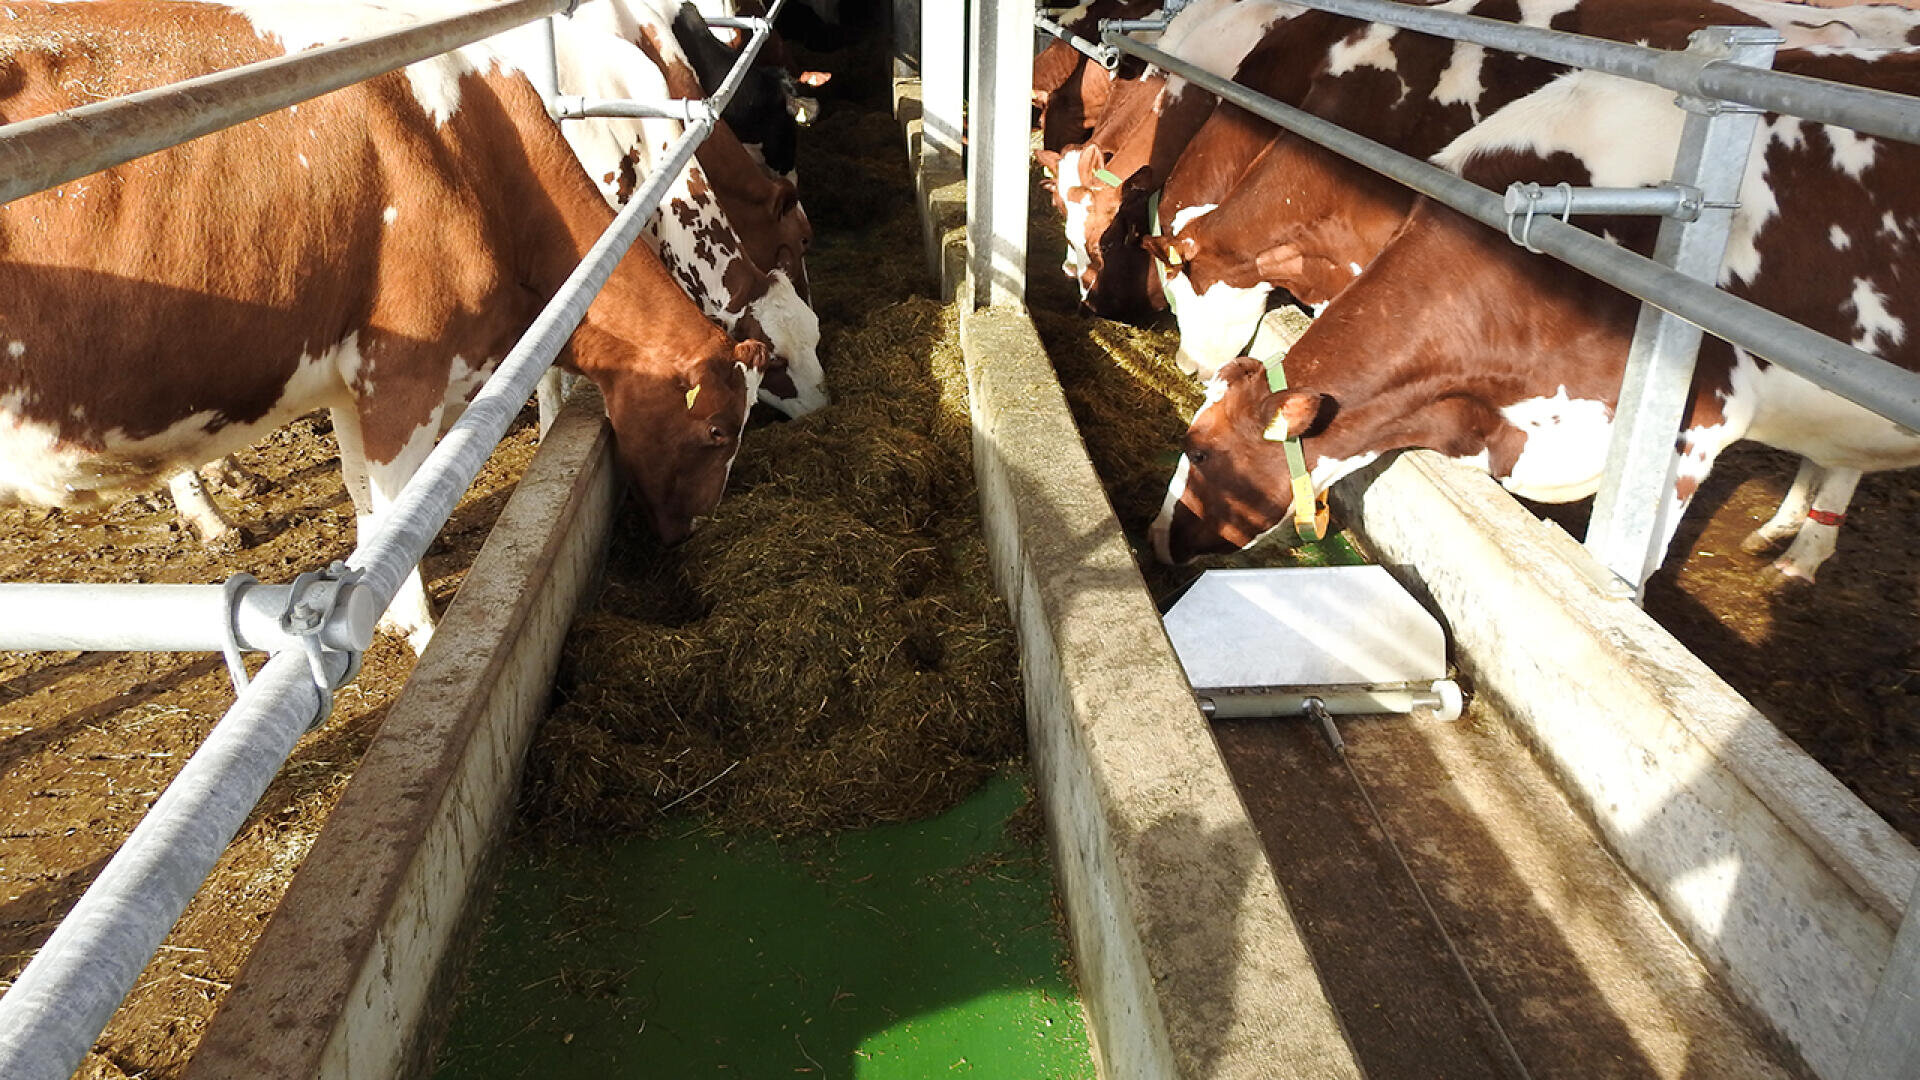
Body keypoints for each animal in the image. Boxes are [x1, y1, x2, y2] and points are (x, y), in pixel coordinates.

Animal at [0, 0, 775, 652]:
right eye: (717, 431)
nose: (692, 532)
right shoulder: (405, 374)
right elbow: (397, 523)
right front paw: (422, 633)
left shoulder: (352, 385)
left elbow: (366, 506)